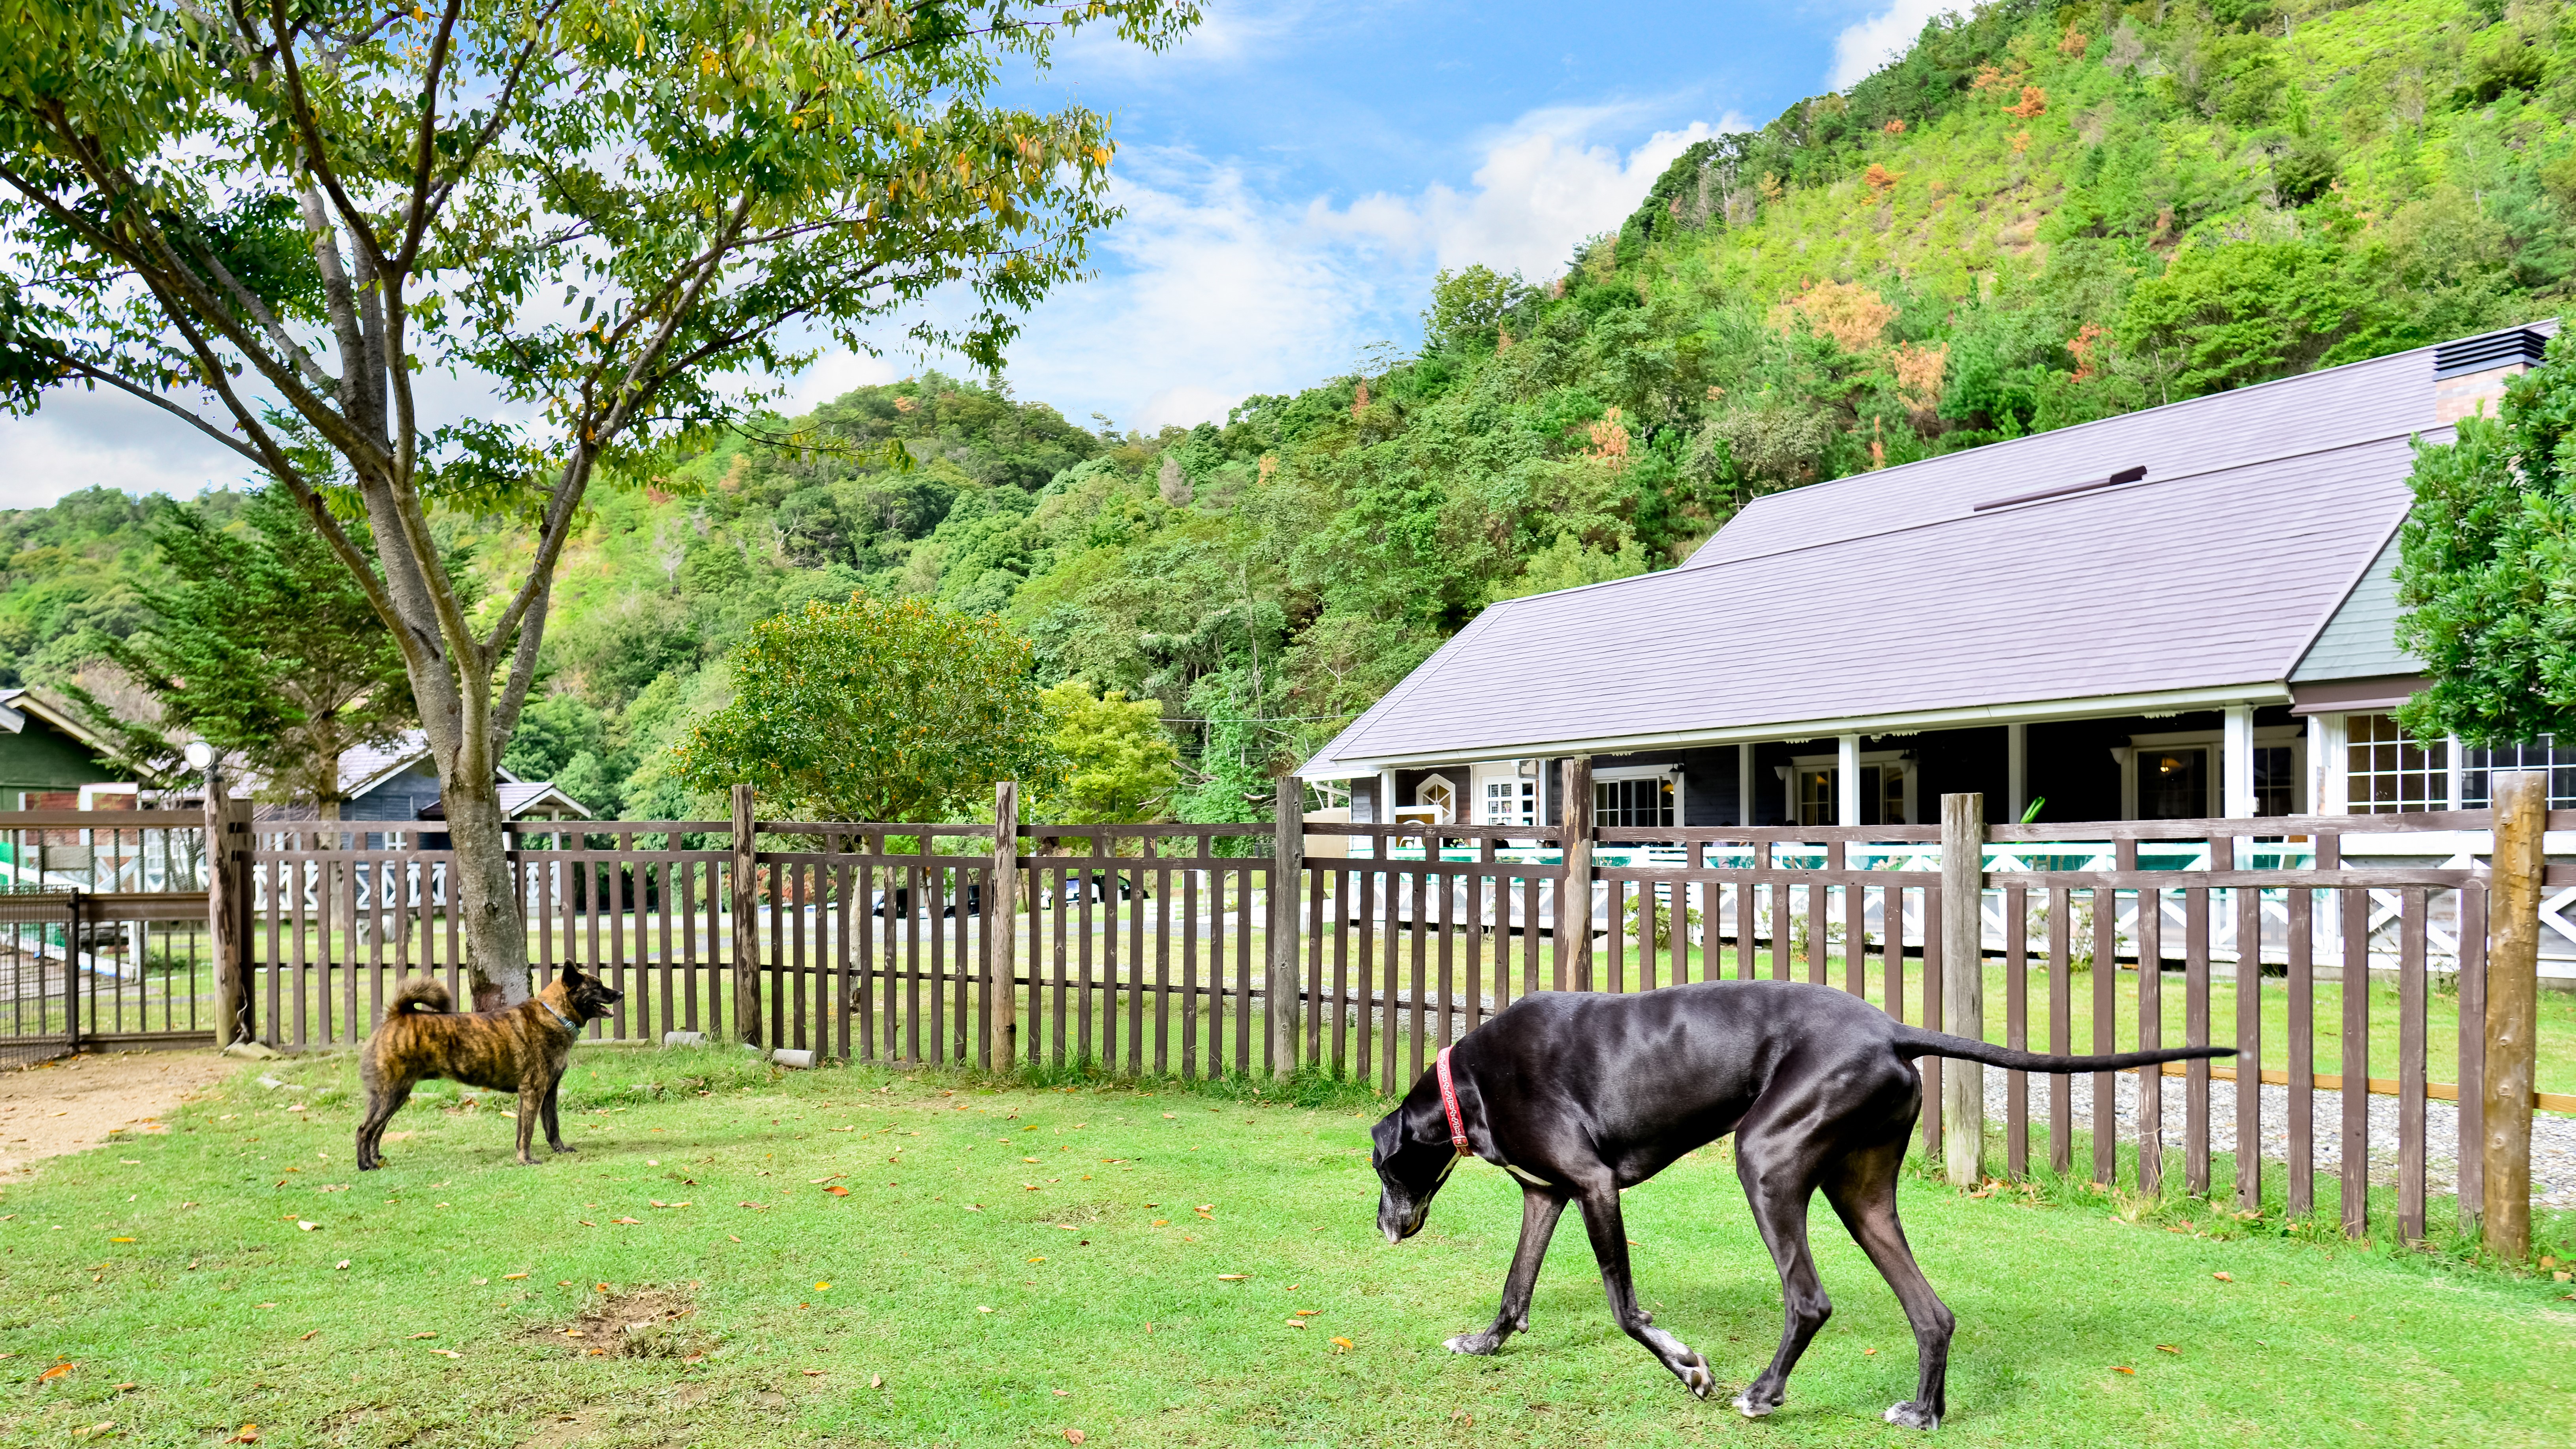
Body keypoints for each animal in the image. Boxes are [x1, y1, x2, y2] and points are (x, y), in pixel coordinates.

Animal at [355, 964, 626, 1165]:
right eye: (597, 987)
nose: (621, 994)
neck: (555, 1015)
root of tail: (396, 1015)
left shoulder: (548, 1092)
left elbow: (552, 1127)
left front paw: (559, 1150)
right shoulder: (532, 1092)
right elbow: (527, 1132)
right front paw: (525, 1160)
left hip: (394, 1096)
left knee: (377, 1130)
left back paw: (376, 1158)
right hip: (392, 1093)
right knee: (364, 1130)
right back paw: (366, 1165)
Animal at [1370, 974, 2236, 1423]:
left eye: (1379, 1166)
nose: (1382, 1226)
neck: (1466, 1084)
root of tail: (1889, 1029)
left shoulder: (1593, 1184)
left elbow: (1623, 1307)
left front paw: (1687, 1366)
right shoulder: (1545, 1195)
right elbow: (1515, 1288)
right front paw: (1482, 1342)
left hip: (1767, 1159)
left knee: (1809, 1298)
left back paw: (1762, 1393)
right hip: (1862, 1194)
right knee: (1932, 1311)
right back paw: (1921, 1410)